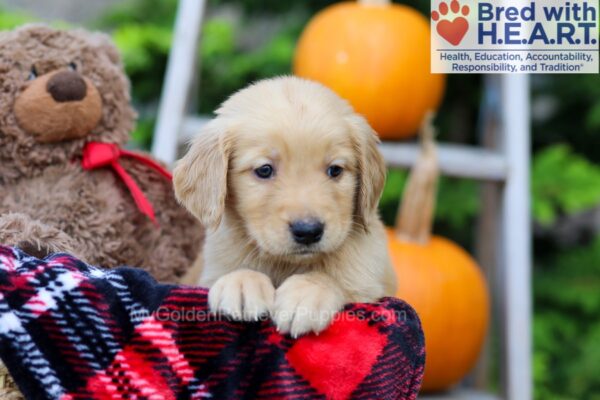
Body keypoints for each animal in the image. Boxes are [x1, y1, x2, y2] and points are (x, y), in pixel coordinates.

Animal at [173, 76, 396, 336]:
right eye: (264, 170)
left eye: (335, 170)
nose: (308, 231)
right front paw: (241, 282)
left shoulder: (371, 280)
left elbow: (335, 278)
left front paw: (307, 294)